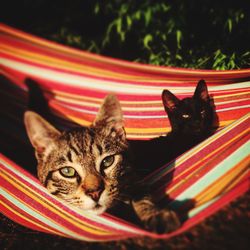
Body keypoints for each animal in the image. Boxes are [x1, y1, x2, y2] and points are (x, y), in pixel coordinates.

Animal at [23, 93, 180, 232]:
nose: (95, 193)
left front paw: (155, 215)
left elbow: (142, 195)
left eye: (107, 161)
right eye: (67, 171)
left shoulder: (135, 177)